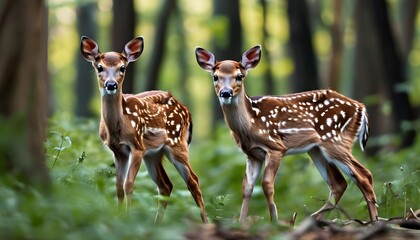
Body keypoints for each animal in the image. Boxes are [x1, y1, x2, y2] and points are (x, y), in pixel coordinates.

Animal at [80, 36, 207, 224]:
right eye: (100, 67)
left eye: (122, 68)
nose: (111, 84)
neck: (117, 128)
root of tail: (187, 110)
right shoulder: (118, 152)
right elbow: (118, 186)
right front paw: (118, 218)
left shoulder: (137, 147)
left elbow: (129, 185)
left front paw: (127, 219)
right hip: (154, 153)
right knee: (166, 185)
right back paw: (156, 224)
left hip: (177, 144)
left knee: (193, 180)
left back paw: (206, 222)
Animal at [195, 45, 378, 223]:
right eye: (215, 77)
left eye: (239, 76)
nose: (226, 93)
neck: (250, 125)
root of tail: (361, 108)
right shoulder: (252, 154)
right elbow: (247, 188)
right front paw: (241, 223)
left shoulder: (275, 147)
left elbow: (267, 185)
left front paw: (275, 223)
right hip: (317, 149)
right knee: (339, 184)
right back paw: (313, 219)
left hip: (335, 140)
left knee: (364, 175)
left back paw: (373, 221)